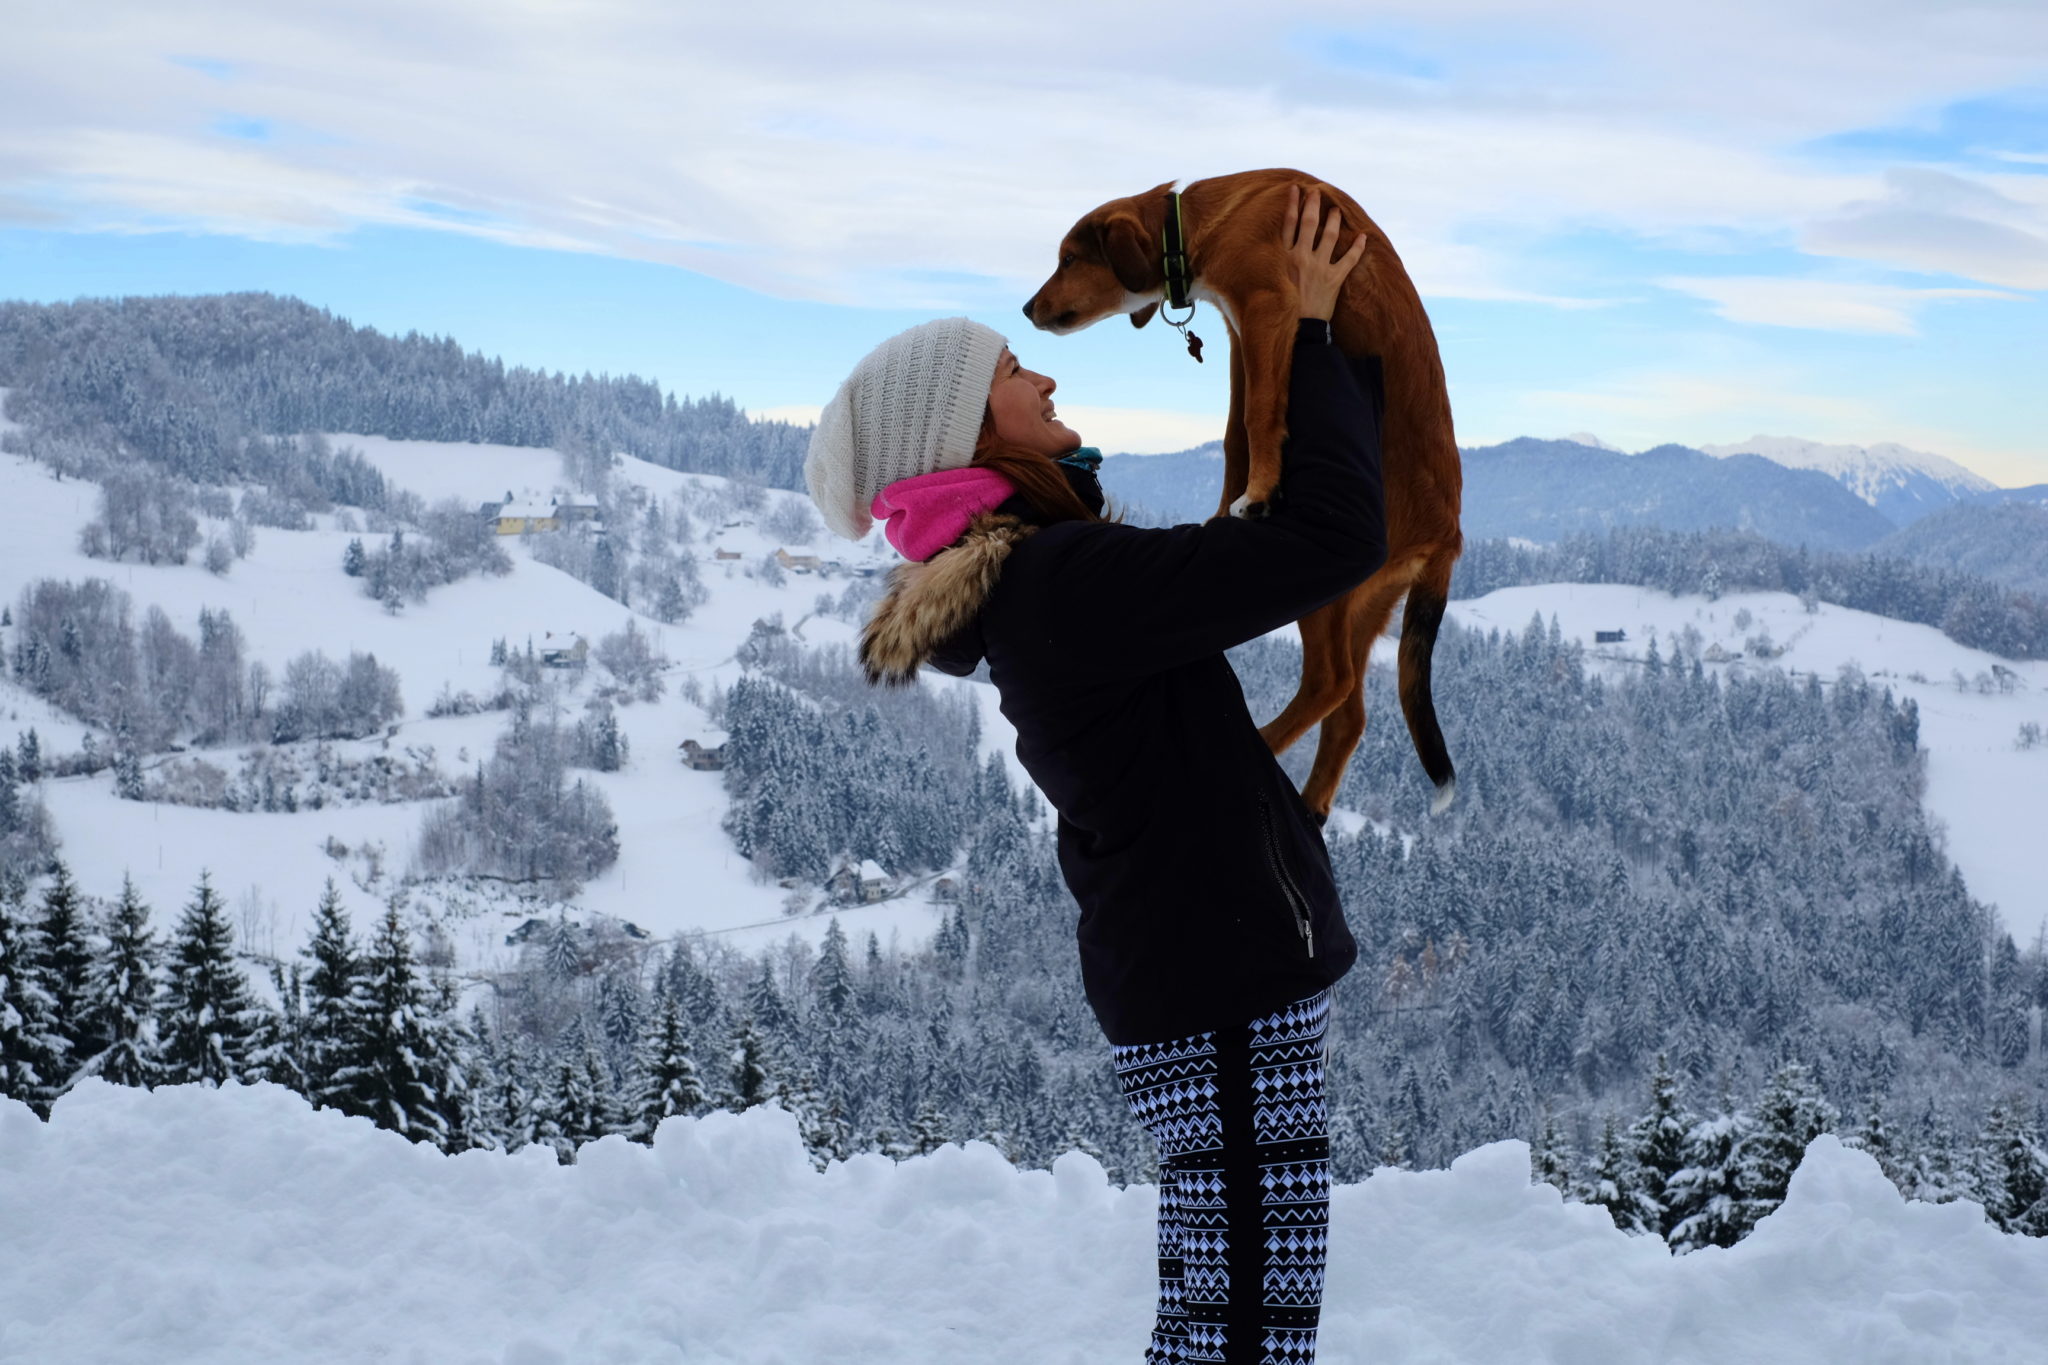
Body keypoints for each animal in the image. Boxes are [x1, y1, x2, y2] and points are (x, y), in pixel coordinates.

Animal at [1019, 165, 1466, 818]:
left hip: (1333, 592)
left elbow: (1256, 417)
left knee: (1332, 683)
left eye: (1070, 259)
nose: (1027, 308)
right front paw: (1228, 509)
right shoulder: (1241, 331)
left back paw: (1266, 745)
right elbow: (1238, 430)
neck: (1198, 222)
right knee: (1350, 711)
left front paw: (1254, 495)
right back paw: (1311, 805)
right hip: (1365, 600)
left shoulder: (1265, 308)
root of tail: (1448, 538)